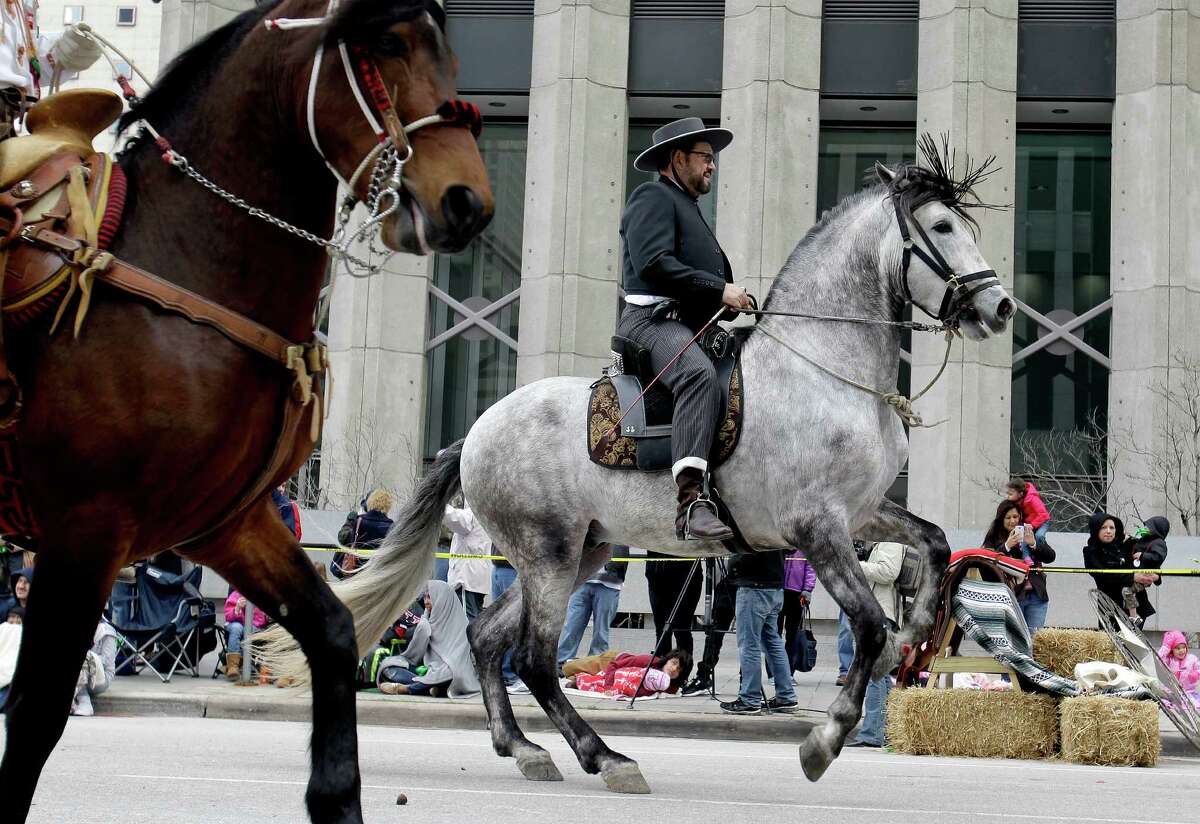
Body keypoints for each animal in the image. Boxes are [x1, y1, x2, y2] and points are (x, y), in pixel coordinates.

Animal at [0, 1, 494, 824]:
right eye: (387, 42)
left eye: (450, 53)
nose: (467, 201)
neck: (183, 262)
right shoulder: (84, 529)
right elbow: (36, 709)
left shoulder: (228, 522)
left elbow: (332, 632)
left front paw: (337, 798)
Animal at [262, 140, 1012, 791]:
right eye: (941, 226)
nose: (999, 305)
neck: (823, 368)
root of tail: (474, 432)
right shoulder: (817, 526)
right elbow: (866, 621)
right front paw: (824, 740)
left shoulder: (862, 514)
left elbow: (933, 546)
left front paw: (912, 640)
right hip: (549, 554)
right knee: (534, 658)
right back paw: (606, 757)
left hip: (579, 553)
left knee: (485, 636)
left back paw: (524, 747)